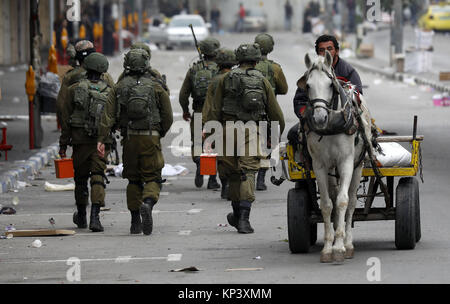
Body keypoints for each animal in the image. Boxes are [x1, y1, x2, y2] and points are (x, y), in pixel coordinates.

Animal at [306, 51, 372, 262]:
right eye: (307, 85)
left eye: (330, 85)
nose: (319, 118)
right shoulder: (319, 165)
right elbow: (327, 204)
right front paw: (329, 247)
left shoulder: (346, 163)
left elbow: (343, 201)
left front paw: (340, 247)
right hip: (331, 170)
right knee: (333, 196)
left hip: (358, 166)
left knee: (351, 202)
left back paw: (348, 243)